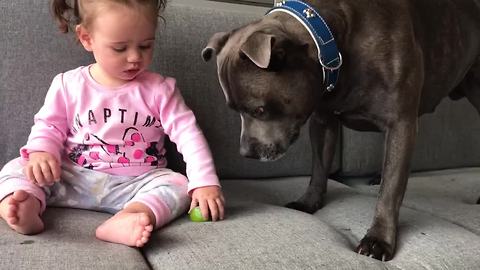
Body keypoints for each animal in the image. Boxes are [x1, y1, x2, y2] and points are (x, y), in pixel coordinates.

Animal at [202, 0, 480, 262]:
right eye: (233, 108)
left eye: (259, 110)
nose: (245, 152)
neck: (333, 43)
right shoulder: (323, 121)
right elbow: (319, 168)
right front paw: (309, 201)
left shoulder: (400, 123)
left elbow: (391, 190)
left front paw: (379, 239)